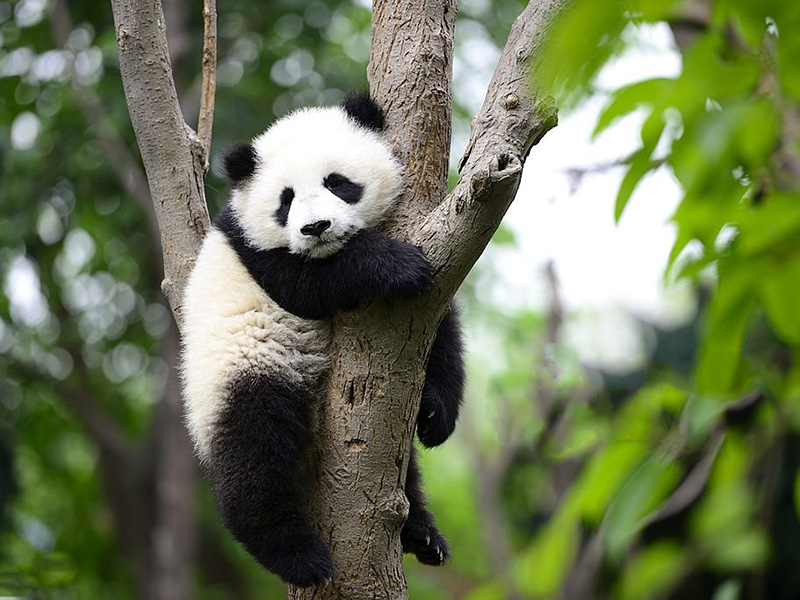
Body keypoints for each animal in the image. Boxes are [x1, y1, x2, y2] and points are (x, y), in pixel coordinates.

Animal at [181, 93, 465, 588]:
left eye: (338, 183)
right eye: (286, 199)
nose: (316, 227)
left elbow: (439, 329)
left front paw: (434, 414)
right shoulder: (257, 253)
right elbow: (310, 283)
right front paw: (397, 265)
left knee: (401, 470)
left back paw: (422, 535)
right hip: (242, 369)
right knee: (253, 452)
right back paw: (297, 556)